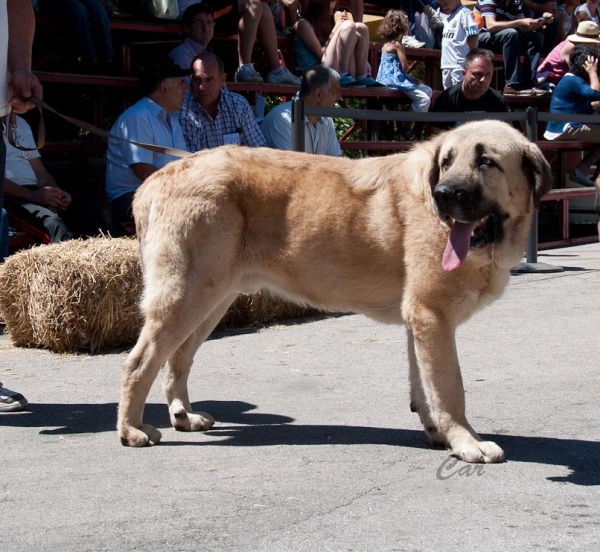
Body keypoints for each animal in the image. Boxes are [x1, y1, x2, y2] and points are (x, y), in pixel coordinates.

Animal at [118, 122, 552, 466]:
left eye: (486, 162)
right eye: (446, 162)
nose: (443, 194)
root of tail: (156, 180)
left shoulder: (420, 321)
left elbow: (423, 384)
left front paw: (438, 432)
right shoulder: (433, 316)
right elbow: (449, 388)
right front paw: (466, 441)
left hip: (211, 299)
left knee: (177, 359)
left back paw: (183, 417)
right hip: (187, 296)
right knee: (139, 363)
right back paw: (132, 430)